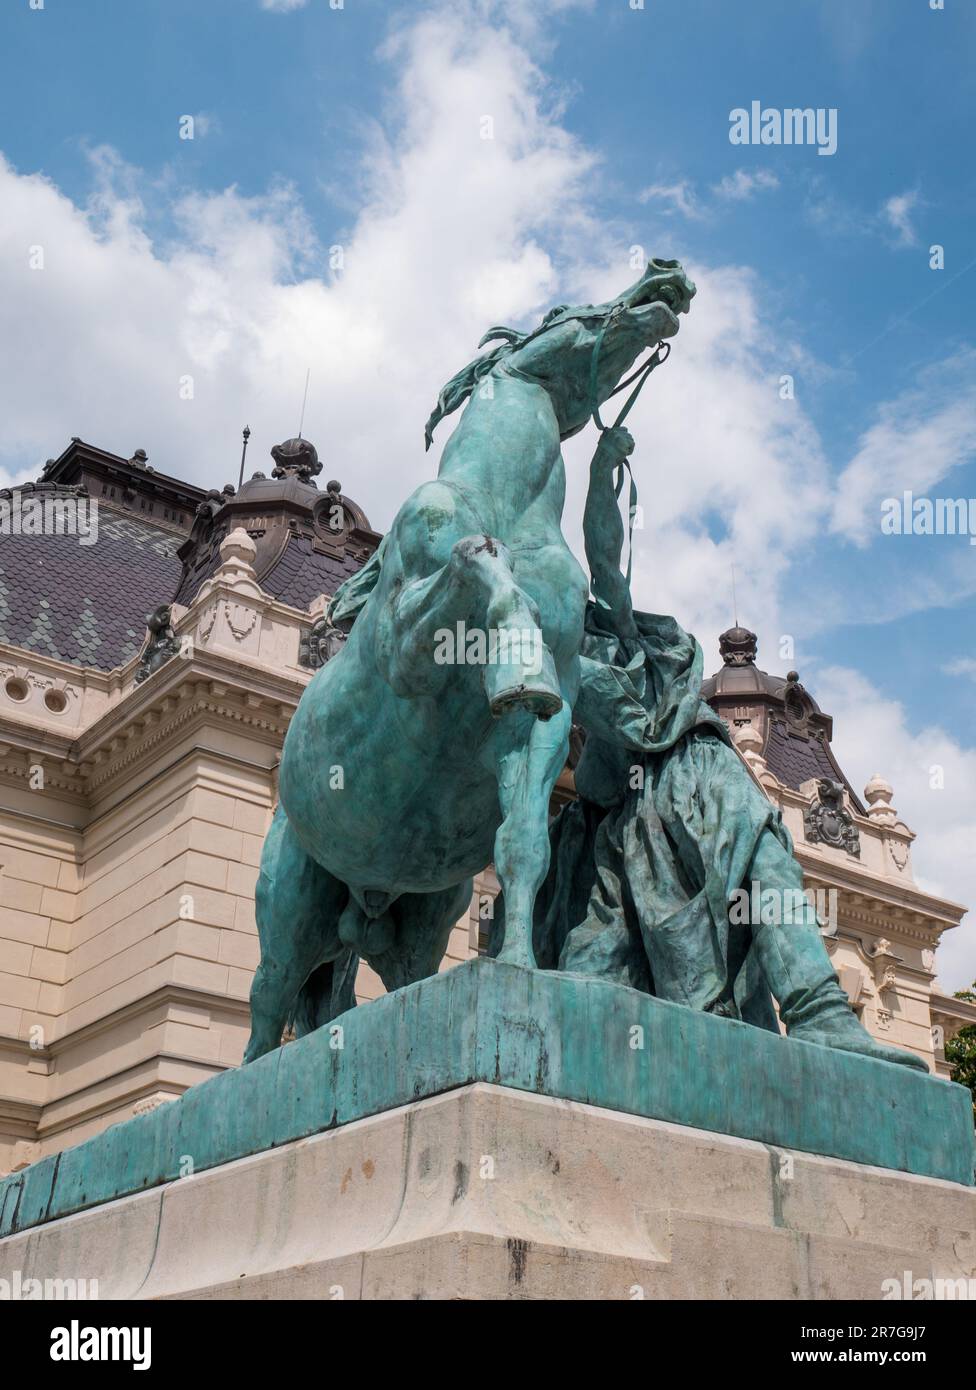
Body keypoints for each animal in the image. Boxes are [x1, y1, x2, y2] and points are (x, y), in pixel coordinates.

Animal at [248, 261, 700, 1056]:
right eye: (558, 310)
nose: (664, 274)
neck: (505, 500)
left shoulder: (540, 730)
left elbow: (523, 844)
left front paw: (517, 967)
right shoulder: (405, 649)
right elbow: (474, 555)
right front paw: (514, 650)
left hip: (415, 923)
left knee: (380, 988)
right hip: (292, 912)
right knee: (265, 1014)